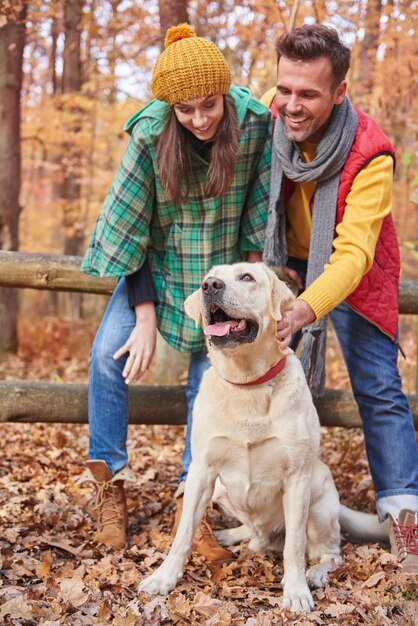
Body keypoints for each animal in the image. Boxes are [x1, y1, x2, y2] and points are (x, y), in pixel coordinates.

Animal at [139, 260, 342, 612]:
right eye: (208, 279)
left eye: (247, 277)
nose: (210, 287)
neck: (246, 383)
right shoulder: (201, 472)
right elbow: (183, 534)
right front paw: (164, 577)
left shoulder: (298, 478)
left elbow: (294, 545)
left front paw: (296, 591)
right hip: (222, 491)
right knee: (255, 533)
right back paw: (231, 536)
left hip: (318, 502)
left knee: (329, 553)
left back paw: (315, 573)